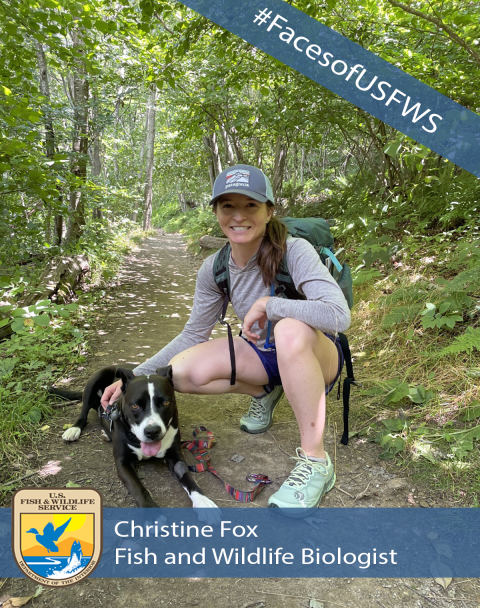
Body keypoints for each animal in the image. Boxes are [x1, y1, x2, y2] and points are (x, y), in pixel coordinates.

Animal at [55, 366, 220, 524]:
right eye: (134, 406)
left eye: (166, 402)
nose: (152, 432)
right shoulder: (123, 463)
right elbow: (138, 487)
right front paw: (152, 512)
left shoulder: (175, 457)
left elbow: (187, 477)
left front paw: (203, 501)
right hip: (94, 382)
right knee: (83, 412)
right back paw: (74, 429)